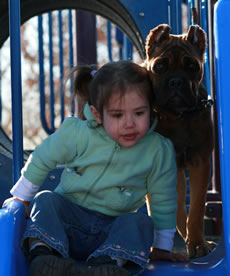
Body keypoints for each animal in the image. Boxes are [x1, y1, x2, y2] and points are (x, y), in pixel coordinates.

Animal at [145, 24, 217, 258]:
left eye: (192, 66)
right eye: (159, 66)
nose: (176, 82)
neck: (177, 115)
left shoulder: (200, 164)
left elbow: (195, 209)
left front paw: (197, 243)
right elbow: (173, 209)